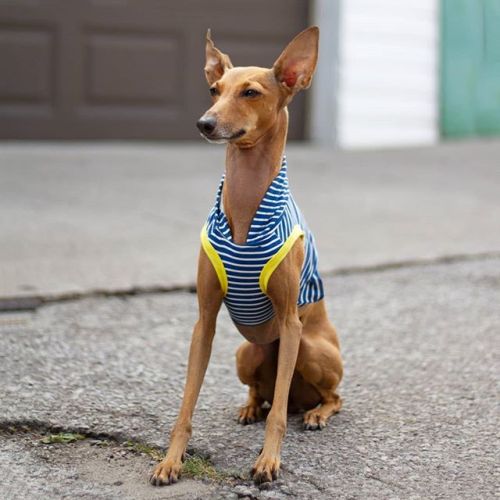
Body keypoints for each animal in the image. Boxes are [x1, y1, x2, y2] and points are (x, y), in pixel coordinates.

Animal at [150, 25, 342, 486]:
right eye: (214, 89)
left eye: (251, 92)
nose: (204, 122)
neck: (245, 202)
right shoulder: (204, 321)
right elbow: (186, 403)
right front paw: (171, 459)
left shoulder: (290, 322)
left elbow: (279, 422)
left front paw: (269, 460)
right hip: (247, 353)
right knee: (265, 394)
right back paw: (252, 405)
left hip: (310, 349)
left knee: (324, 398)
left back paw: (316, 413)